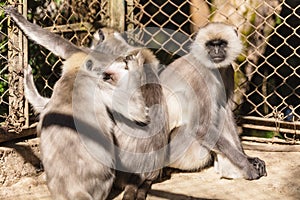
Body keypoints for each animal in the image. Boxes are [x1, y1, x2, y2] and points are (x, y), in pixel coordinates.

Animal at [161, 22, 266, 180]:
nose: (216, 51)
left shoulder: (228, 70)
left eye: (221, 44)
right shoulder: (200, 75)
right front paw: (246, 165)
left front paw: (248, 158)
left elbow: (227, 111)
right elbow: (200, 126)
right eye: (210, 45)